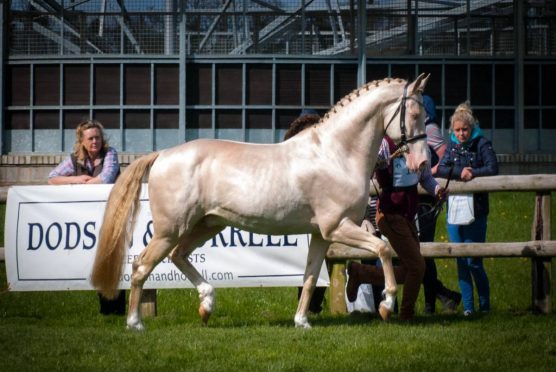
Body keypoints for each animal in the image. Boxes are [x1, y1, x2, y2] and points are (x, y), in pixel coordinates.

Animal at [90, 74, 430, 330]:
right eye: (414, 115)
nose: (423, 162)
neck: (336, 154)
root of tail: (161, 155)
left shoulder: (321, 234)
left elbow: (310, 277)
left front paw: (302, 322)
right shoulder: (338, 227)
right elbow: (383, 248)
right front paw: (386, 304)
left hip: (205, 225)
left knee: (178, 256)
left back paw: (207, 304)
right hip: (169, 230)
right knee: (141, 265)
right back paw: (135, 323)